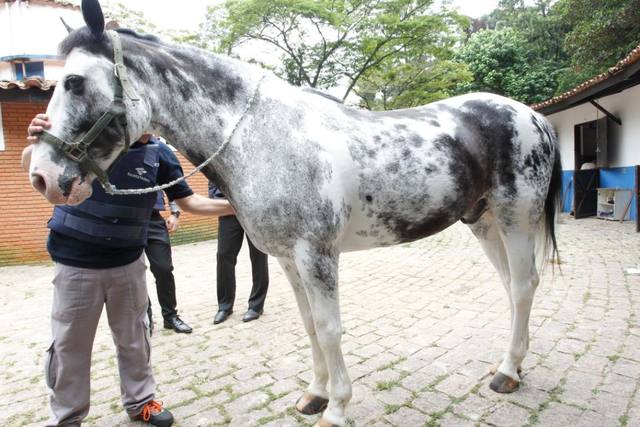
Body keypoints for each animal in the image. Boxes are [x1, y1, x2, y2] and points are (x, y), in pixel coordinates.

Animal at [26, 1, 560, 426]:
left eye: (74, 81)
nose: (43, 177)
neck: (265, 136)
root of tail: (533, 116)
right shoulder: (286, 257)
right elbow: (309, 326)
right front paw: (315, 396)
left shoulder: (316, 255)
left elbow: (329, 328)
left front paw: (338, 409)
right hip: (483, 221)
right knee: (511, 287)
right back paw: (510, 366)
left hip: (515, 216)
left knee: (523, 285)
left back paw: (507, 374)